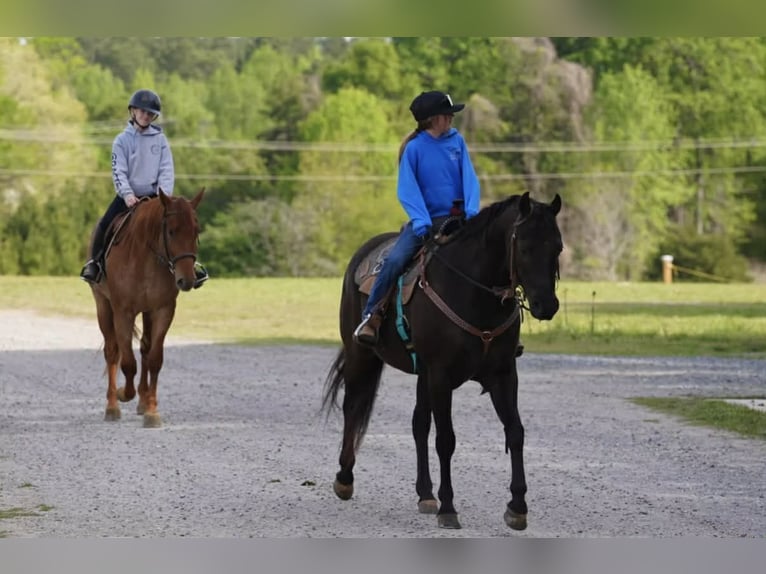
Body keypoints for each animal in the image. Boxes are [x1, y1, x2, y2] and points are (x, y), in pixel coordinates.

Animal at [88, 189, 204, 428]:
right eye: (171, 231)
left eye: (196, 231)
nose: (186, 280)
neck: (145, 257)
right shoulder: (123, 312)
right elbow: (128, 363)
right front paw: (123, 394)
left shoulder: (163, 310)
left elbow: (154, 359)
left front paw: (151, 411)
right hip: (103, 306)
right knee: (112, 352)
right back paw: (112, 406)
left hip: (147, 312)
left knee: (144, 347)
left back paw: (142, 401)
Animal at [322, 191, 562, 531]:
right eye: (525, 247)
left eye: (558, 247)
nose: (547, 305)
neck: (474, 294)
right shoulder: (441, 375)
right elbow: (446, 439)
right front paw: (449, 508)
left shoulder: (503, 374)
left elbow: (515, 432)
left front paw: (517, 507)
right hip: (362, 354)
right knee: (353, 407)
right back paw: (344, 478)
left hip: (421, 375)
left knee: (418, 423)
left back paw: (425, 494)